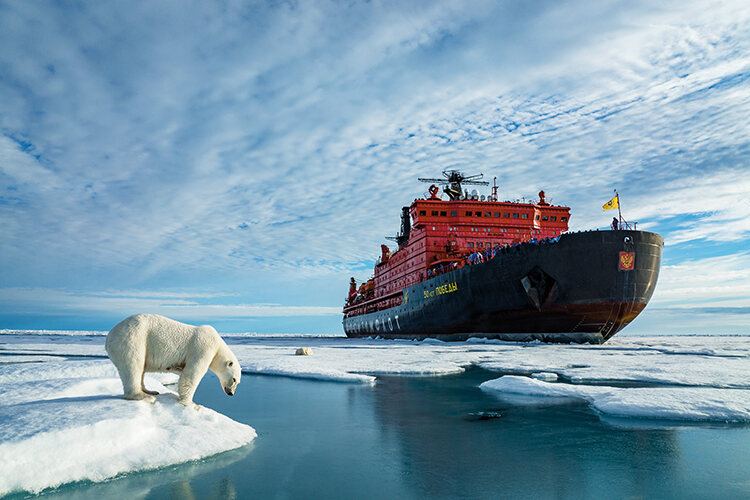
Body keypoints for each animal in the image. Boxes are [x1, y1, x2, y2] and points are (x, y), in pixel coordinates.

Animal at [104, 316, 241, 406]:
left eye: (238, 382)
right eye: (234, 379)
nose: (231, 393)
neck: (218, 345)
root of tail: (109, 337)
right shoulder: (203, 347)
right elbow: (193, 373)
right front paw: (189, 403)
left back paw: (151, 391)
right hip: (133, 338)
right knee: (133, 365)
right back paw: (144, 396)